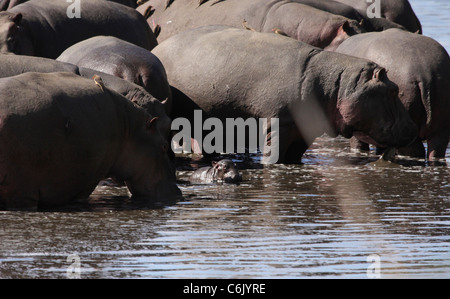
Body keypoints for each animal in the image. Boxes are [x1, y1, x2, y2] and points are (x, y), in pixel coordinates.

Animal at [152, 26, 418, 164]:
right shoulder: (279, 123)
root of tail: (157, 48)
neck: (339, 85)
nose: (414, 127)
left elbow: (294, 155)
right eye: (393, 90)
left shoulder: (304, 130)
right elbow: (275, 156)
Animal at [336, 29, 450, 162]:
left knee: (414, 151)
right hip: (441, 125)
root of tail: (426, 74)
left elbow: (358, 144)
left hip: (407, 130)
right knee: (436, 151)